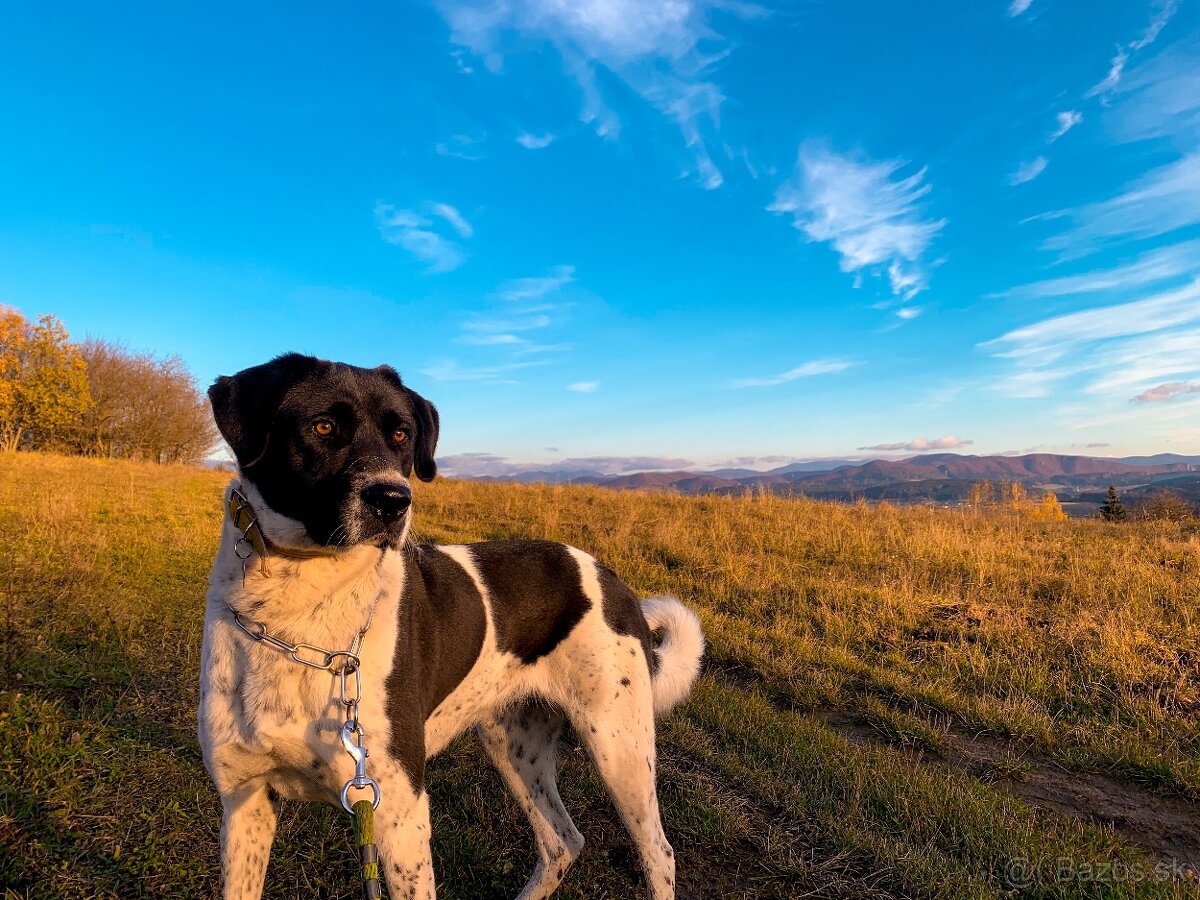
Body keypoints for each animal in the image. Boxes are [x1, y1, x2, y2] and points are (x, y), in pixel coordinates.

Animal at [195, 357, 700, 900]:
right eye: (323, 426)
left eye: (401, 434)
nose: (393, 501)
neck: (295, 612)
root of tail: (612, 578)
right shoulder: (244, 801)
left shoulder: (399, 816)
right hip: (513, 742)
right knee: (563, 841)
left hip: (617, 746)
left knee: (658, 852)